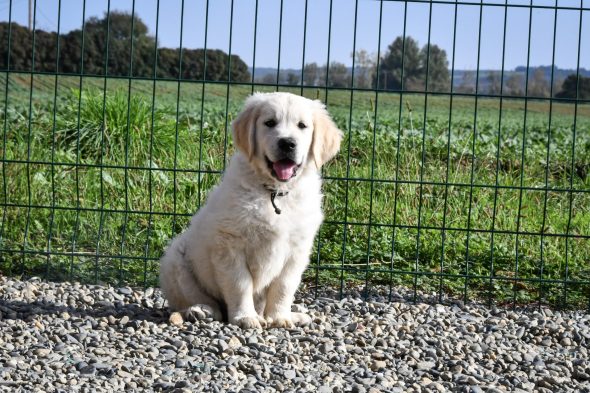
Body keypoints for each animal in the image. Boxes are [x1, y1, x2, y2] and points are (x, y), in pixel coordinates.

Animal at [158, 92, 342, 328]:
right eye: (269, 123)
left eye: (302, 126)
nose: (287, 143)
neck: (275, 193)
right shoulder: (230, 244)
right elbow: (240, 284)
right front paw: (245, 317)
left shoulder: (297, 250)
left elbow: (284, 286)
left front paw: (280, 317)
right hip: (176, 261)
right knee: (200, 301)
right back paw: (200, 311)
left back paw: (293, 314)